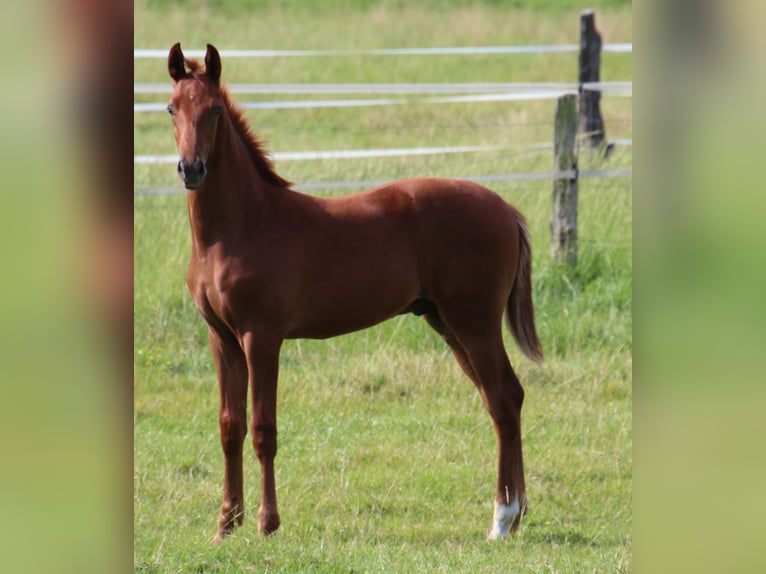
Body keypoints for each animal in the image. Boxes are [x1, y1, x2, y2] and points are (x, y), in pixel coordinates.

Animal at [166, 42, 544, 544]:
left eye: (214, 111)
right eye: (171, 108)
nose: (191, 169)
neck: (243, 226)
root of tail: (505, 208)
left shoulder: (261, 337)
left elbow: (264, 428)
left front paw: (267, 524)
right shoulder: (221, 338)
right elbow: (231, 427)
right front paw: (226, 524)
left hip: (475, 323)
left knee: (502, 398)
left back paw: (501, 520)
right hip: (447, 323)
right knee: (503, 399)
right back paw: (516, 515)